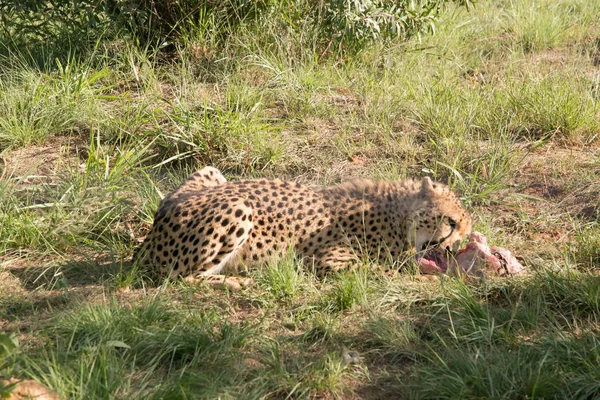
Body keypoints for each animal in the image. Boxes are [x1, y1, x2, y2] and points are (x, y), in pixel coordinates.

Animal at [137, 167, 474, 282]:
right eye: (451, 222)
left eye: (465, 231)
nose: (454, 246)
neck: (399, 213)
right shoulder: (327, 260)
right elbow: (380, 269)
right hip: (238, 208)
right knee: (181, 278)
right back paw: (237, 282)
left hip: (212, 172)